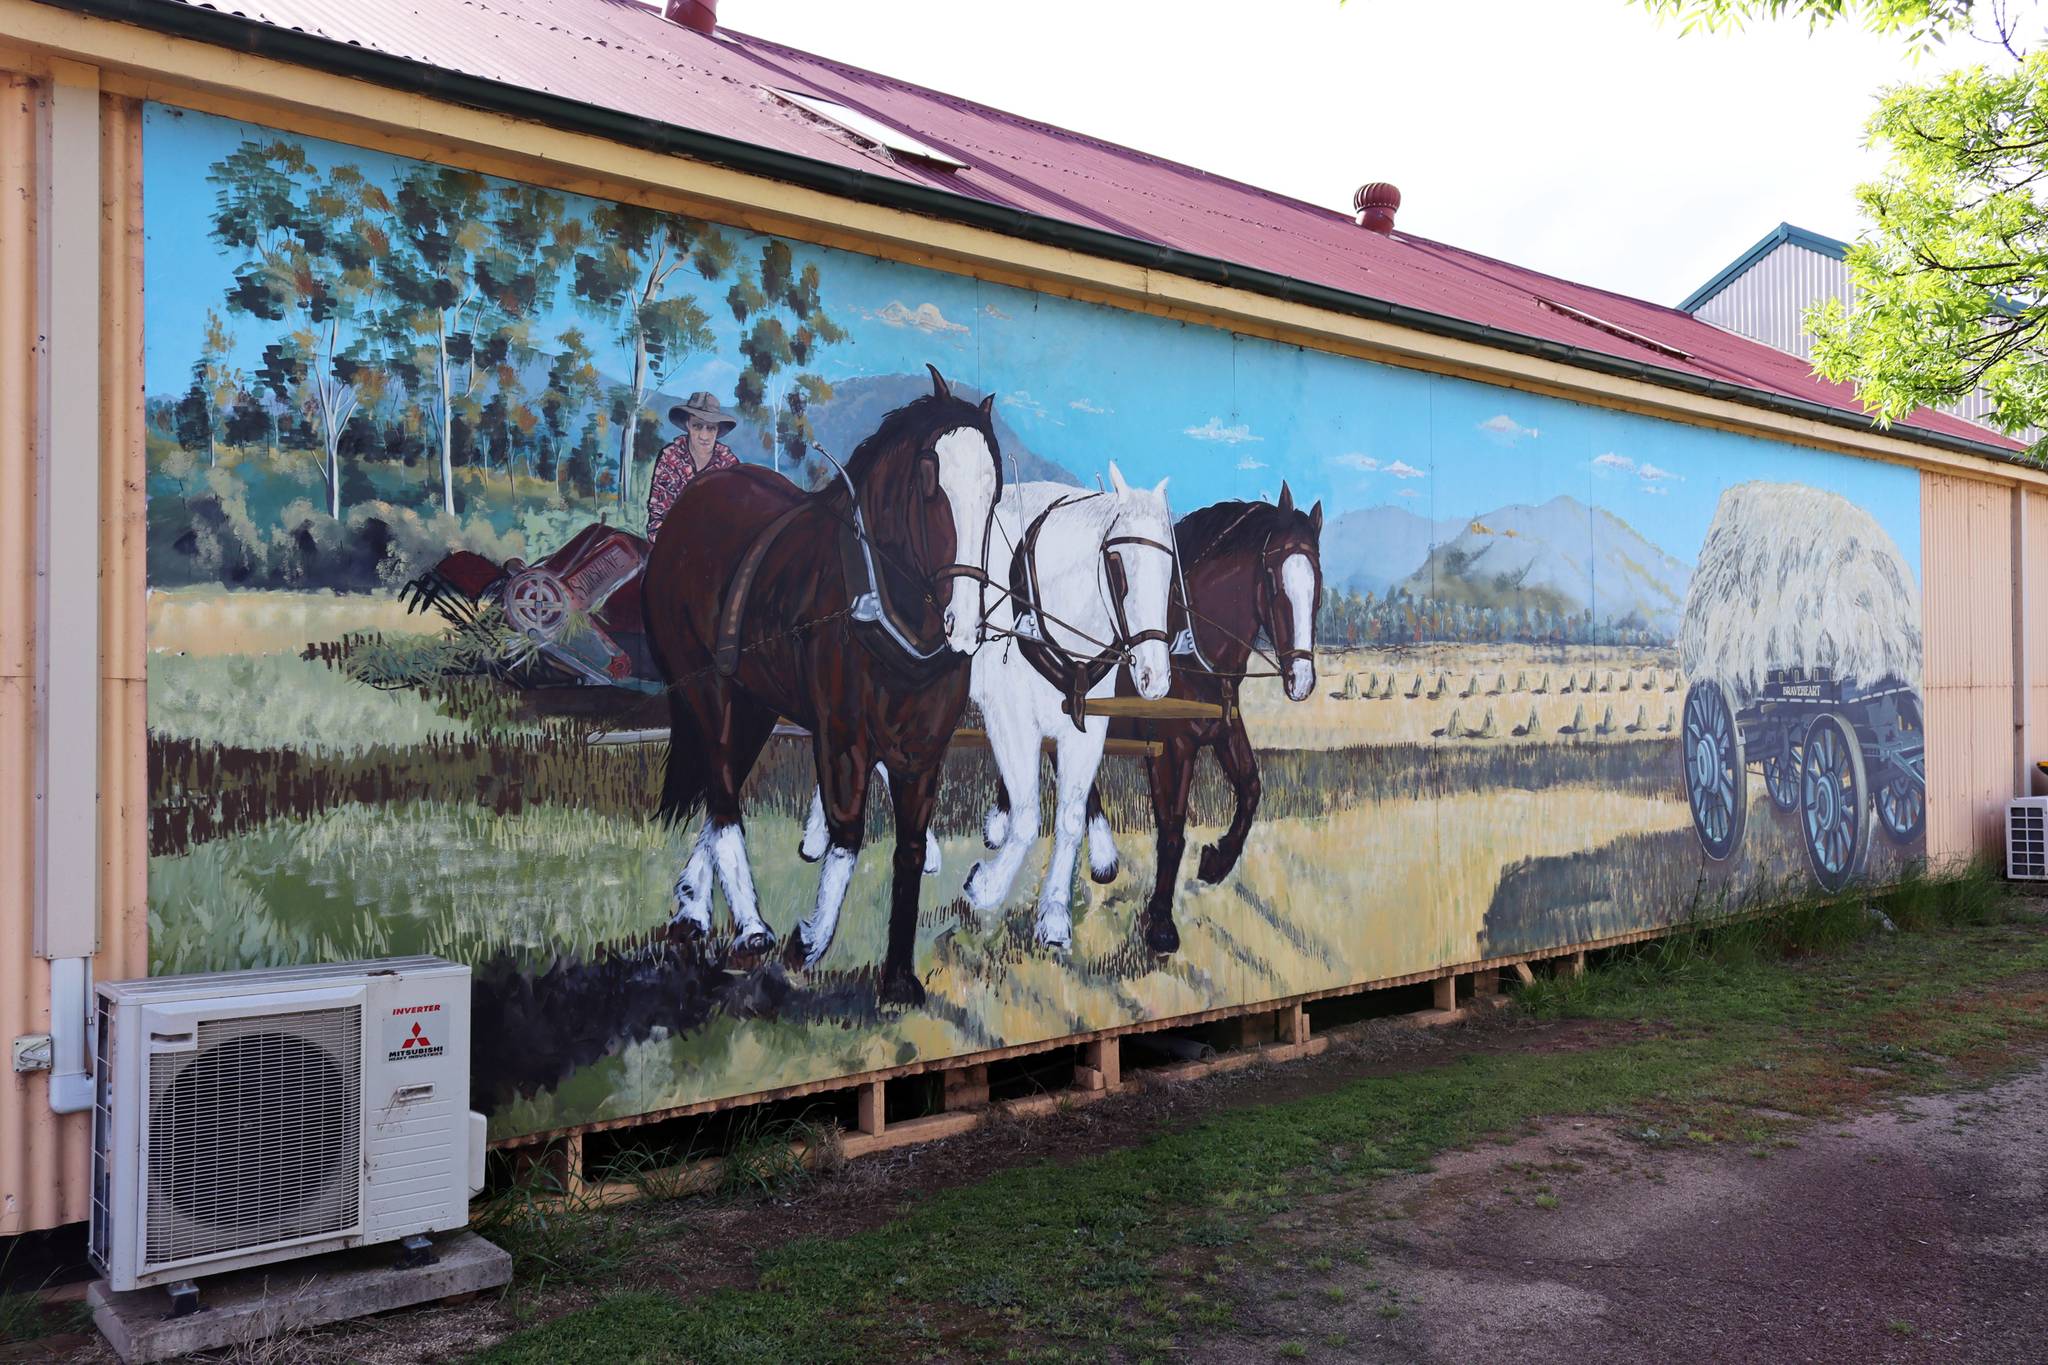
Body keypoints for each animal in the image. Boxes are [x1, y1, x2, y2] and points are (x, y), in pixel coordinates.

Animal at [634, 368, 995, 1010]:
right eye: (929, 475)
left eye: (996, 486)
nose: (966, 622)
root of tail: (692, 504)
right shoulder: (842, 733)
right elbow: (847, 832)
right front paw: (808, 941)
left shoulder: (926, 748)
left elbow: (909, 848)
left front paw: (898, 980)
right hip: (705, 686)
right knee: (722, 792)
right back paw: (750, 927)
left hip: (754, 702)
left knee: (719, 784)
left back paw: (693, 910)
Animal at [1081, 485, 1318, 957]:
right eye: (1272, 581)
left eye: (1318, 582)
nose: (1301, 679)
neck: (1186, 646)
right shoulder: (1170, 748)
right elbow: (1172, 827)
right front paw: (1160, 923)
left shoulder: (1222, 731)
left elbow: (1250, 788)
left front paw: (1216, 861)